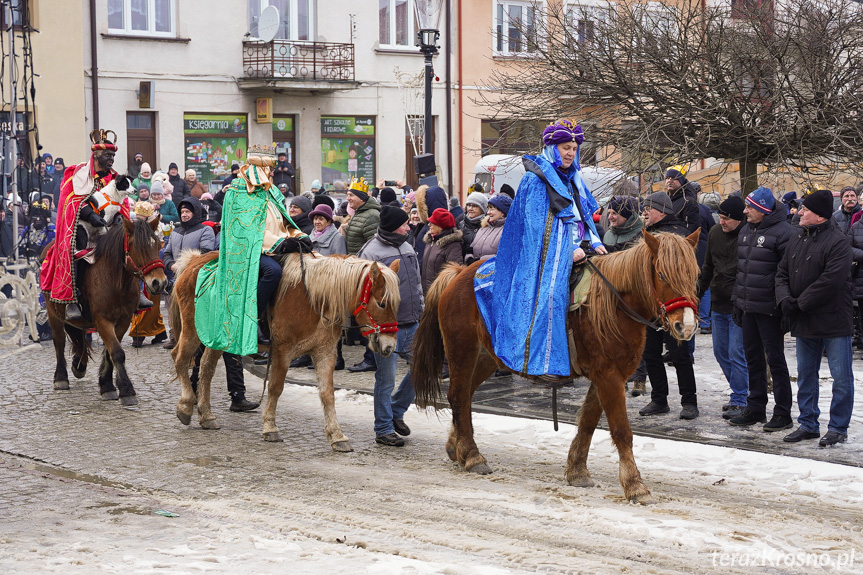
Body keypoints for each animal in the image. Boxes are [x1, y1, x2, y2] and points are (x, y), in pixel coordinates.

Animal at [46, 216, 169, 404]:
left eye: (157, 244)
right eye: (135, 246)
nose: (159, 283)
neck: (116, 282)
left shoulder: (123, 320)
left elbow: (109, 352)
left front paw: (107, 385)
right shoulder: (102, 320)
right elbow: (117, 352)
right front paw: (126, 390)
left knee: (80, 337)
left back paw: (79, 365)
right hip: (54, 314)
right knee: (59, 341)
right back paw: (61, 378)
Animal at [170, 254, 404, 452]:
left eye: (396, 304)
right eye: (382, 303)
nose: (389, 346)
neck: (314, 299)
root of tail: (193, 261)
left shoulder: (325, 352)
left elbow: (327, 394)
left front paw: (337, 436)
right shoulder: (282, 351)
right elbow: (275, 388)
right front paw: (270, 427)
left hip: (217, 338)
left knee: (206, 369)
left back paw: (206, 416)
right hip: (192, 331)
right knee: (179, 358)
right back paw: (186, 405)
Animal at [412, 230, 704, 504]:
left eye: (694, 275)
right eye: (662, 274)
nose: (686, 326)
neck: (614, 303)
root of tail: (459, 273)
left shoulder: (608, 376)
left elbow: (588, 422)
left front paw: (577, 471)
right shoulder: (608, 376)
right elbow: (622, 431)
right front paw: (635, 486)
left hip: (486, 357)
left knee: (465, 397)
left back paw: (457, 447)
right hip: (462, 351)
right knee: (458, 396)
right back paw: (473, 456)